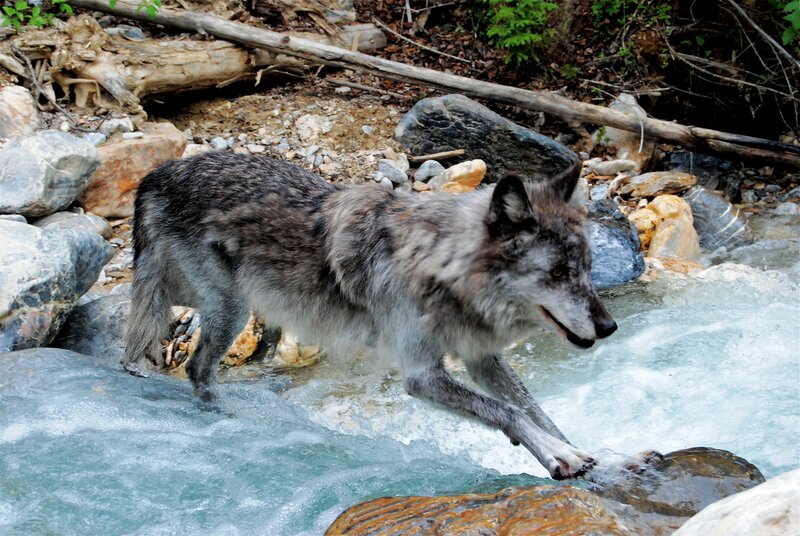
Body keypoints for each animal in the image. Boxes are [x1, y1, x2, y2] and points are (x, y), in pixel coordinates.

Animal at [123, 151, 619, 479]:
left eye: (587, 267)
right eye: (557, 272)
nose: (609, 327)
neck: (440, 267)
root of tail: (158, 173)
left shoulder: (482, 359)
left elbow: (534, 409)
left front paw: (582, 450)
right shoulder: (421, 375)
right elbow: (508, 412)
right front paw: (559, 456)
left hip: (196, 299)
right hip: (232, 309)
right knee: (196, 368)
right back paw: (230, 418)